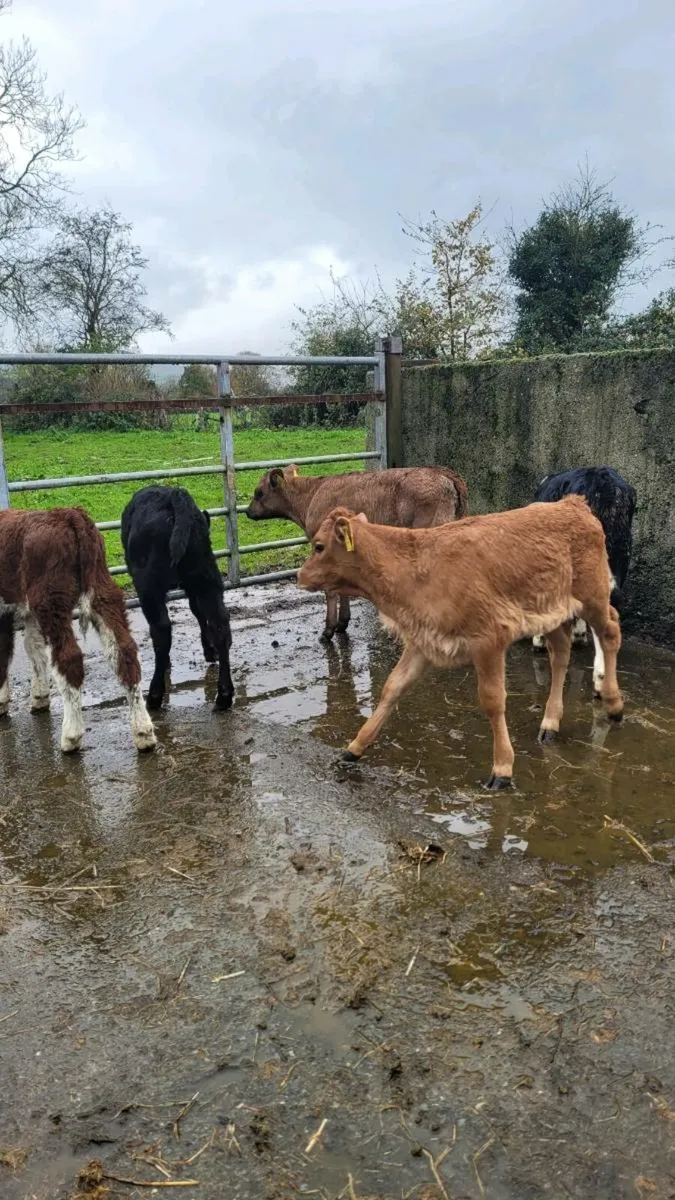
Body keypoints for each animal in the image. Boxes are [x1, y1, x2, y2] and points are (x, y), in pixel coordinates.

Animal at [0, 506, 156, 753]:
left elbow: (5, 651)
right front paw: (39, 696)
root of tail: (70, 514)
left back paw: (71, 736)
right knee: (124, 652)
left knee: (69, 657)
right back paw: (143, 732)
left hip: (51, 600)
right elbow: (33, 648)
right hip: (103, 590)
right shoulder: (25, 611)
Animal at [121, 486, 234, 712]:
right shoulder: (192, 587)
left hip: (149, 587)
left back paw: (155, 695)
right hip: (207, 577)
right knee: (220, 624)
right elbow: (197, 612)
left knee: (162, 630)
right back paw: (224, 695)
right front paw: (209, 651)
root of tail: (174, 494)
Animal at [246, 464, 468, 640]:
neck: (311, 495)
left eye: (259, 492)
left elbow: (330, 589)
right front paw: (342, 623)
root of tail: (443, 473)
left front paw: (328, 630)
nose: (247, 512)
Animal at [296, 497, 623, 790]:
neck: (415, 569)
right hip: (551, 611)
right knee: (561, 652)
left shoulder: (489, 640)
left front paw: (502, 768)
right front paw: (355, 746)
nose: (300, 575)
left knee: (610, 631)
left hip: (593, 596)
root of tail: (572, 503)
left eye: (319, 546)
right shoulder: (422, 642)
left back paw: (613, 703)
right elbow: (392, 688)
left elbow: (493, 701)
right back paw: (550, 723)